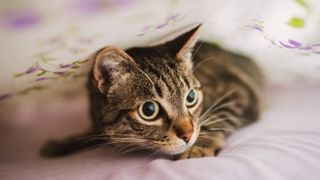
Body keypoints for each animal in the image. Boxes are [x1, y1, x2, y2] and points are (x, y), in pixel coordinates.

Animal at [42, 24, 262, 160]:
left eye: (190, 97)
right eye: (149, 110)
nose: (188, 135)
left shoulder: (237, 90)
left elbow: (217, 117)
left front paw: (198, 145)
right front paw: (64, 143)